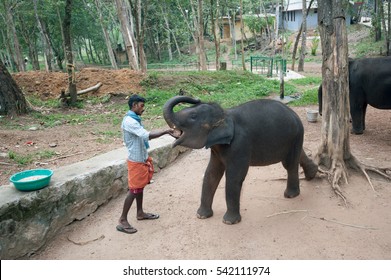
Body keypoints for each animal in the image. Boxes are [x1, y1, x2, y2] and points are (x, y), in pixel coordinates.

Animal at [162, 96, 318, 225]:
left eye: (193, 116)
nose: (197, 98)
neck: (225, 115)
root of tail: (294, 114)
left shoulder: (239, 145)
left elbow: (234, 177)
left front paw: (229, 222)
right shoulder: (217, 149)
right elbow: (211, 173)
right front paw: (201, 216)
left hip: (295, 135)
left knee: (290, 164)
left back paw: (290, 195)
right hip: (294, 138)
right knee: (297, 155)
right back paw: (312, 174)